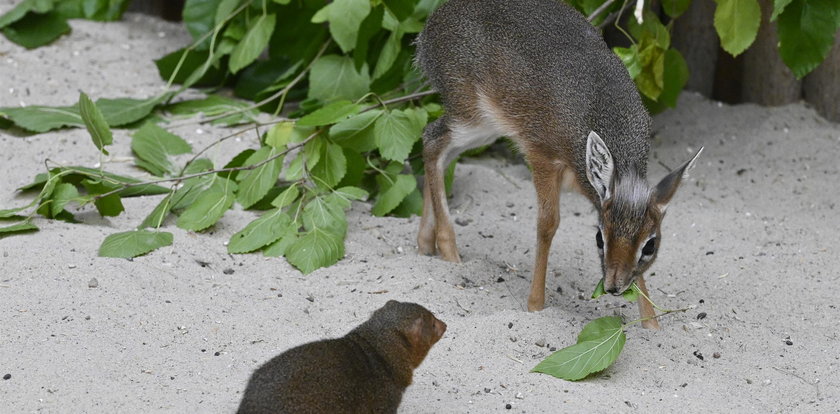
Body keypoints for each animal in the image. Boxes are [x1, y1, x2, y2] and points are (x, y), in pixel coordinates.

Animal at [416, 0, 704, 330]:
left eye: (651, 245)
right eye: (599, 238)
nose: (613, 287)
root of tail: (430, 27)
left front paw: (651, 326)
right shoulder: (542, 158)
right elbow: (548, 224)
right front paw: (535, 306)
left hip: (485, 127)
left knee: (438, 148)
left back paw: (425, 244)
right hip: (471, 115)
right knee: (432, 140)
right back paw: (449, 251)